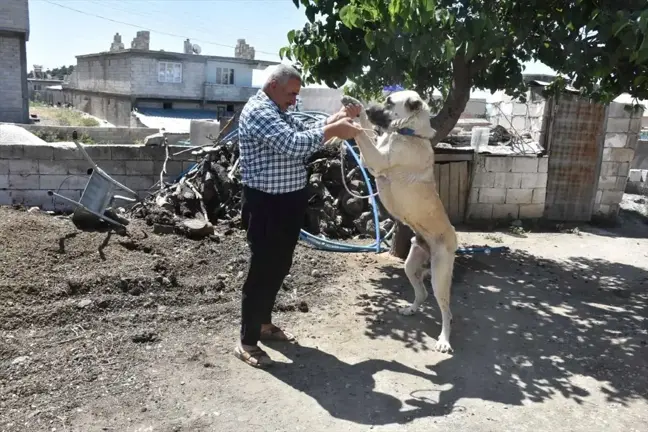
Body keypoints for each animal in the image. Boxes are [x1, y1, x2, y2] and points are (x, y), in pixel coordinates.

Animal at [342, 90, 458, 352]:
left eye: (389, 102)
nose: (368, 106)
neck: (407, 133)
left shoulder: (377, 160)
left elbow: (361, 133)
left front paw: (355, 119)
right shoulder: (372, 158)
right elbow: (367, 131)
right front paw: (355, 107)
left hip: (440, 275)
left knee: (447, 312)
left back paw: (444, 340)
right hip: (411, 264)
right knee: (422, 294)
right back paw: (411, 309)